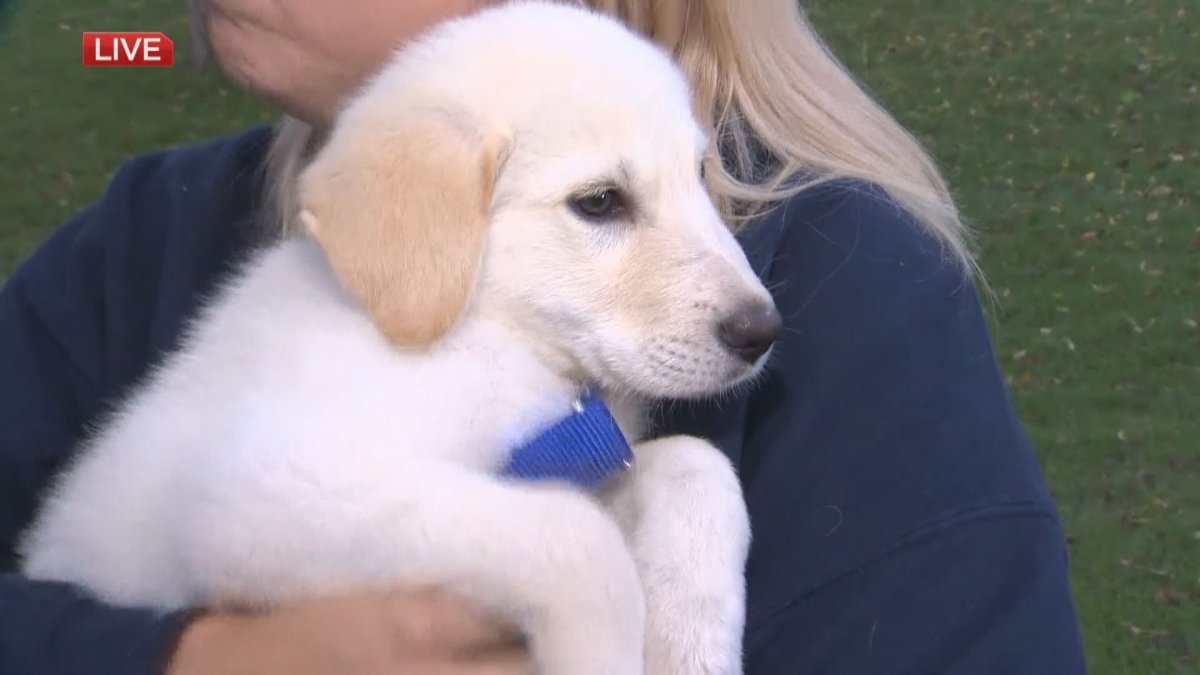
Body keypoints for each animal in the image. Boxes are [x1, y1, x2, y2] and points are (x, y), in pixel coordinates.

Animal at [25, 2, 787, 667]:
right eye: (599, 202)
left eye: (700, 174)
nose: (764, 331)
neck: (486, 338)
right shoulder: (267, 495)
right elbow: (577, 539)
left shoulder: (585, 459)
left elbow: (695, 463)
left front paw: (692, 642)